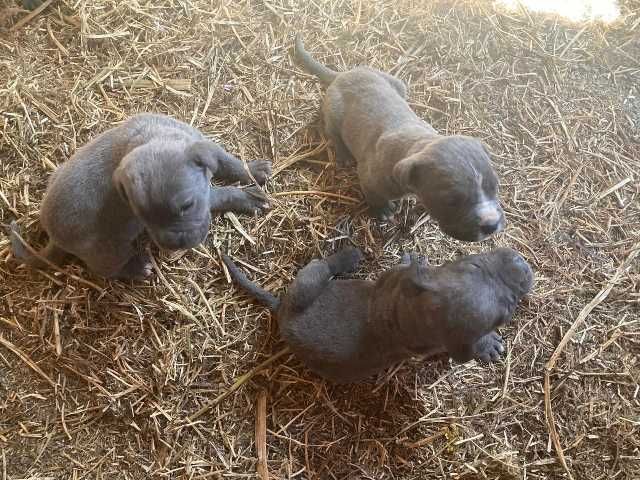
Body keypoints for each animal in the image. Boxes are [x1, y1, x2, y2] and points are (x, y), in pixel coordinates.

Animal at [8, 113, 272, 280]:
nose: (172, 244)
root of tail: (53, 236)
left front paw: (252, 170)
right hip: (108, 249)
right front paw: (246, 198)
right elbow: (222, 193)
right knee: (106, 271)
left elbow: (229, 162)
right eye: (141, 217)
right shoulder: (208, 197)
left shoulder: (207, 145)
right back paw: (137, 269)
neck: (153, 136)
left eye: (186, 206)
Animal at [222, 248, 532, 382]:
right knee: (321, 265)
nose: (521, 264)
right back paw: (347, 255)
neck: (410, 313)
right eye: (473, 265)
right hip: (306, 290)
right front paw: (487, 344)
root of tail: (281, 309)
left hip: (305, 290)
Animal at [294, 36, 504, 244]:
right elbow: (373, 196)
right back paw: (343, 154)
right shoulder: (368, 177)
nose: (491, 224)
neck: (417, 143)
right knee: (332, 133)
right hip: (333, 112)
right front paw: (383, 209)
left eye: (495, 186)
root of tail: (342, 74)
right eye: (451, 201)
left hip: (397, 83)